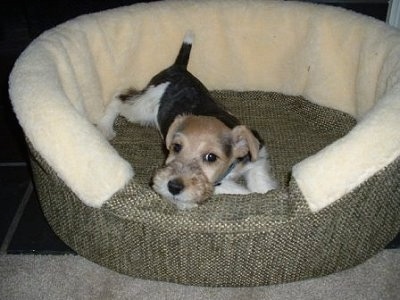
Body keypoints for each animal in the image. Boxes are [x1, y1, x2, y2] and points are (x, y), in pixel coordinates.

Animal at [98, 31, 276, 209]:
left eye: (211, 157)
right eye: (176, 147)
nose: (173, 186)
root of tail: (178, 68)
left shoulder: (257, 157)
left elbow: (260, 183)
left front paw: (264, 191)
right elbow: (238, 189)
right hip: (143, 108)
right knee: (119, 99)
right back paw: (105, 128)